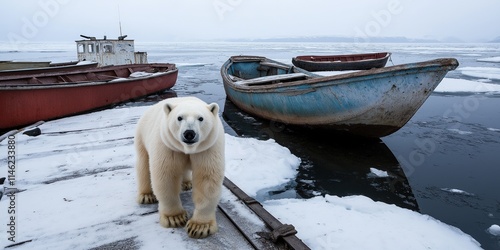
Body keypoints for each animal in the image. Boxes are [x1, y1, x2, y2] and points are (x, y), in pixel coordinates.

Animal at [135, 96, 225, 238]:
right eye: (179, 118)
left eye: (201, 118)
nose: (189, 133)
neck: (187, 148)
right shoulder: (168, 146)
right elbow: (167, 176)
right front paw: (175, 218)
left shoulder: (207, 148)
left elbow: (206, 179)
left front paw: (199, 227)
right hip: (142, 135)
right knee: (143, 163)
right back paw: (146, 195)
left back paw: (187, 183)